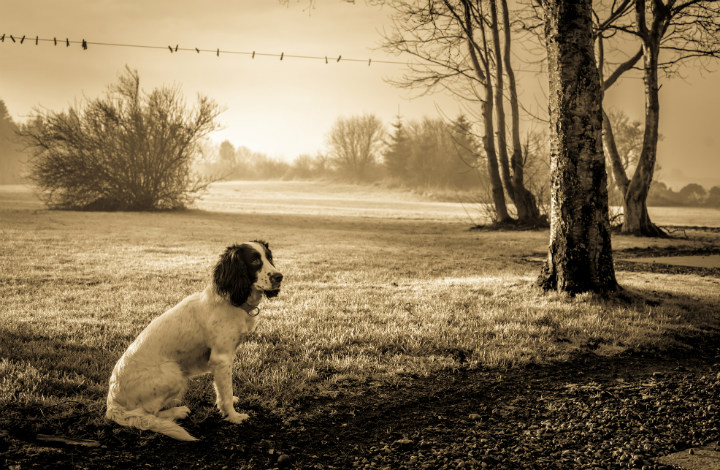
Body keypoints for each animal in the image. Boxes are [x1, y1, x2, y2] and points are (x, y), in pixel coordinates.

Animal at [105, 241, 282, 442]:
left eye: (269, 257)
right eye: (254, 260)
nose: (279, 277)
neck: (232, 301)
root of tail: (112, 405)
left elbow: (224, 390)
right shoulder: (221, 358)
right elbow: (226, 392)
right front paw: (234, 416)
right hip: (173, 372)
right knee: (147, 414)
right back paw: (177, 411)